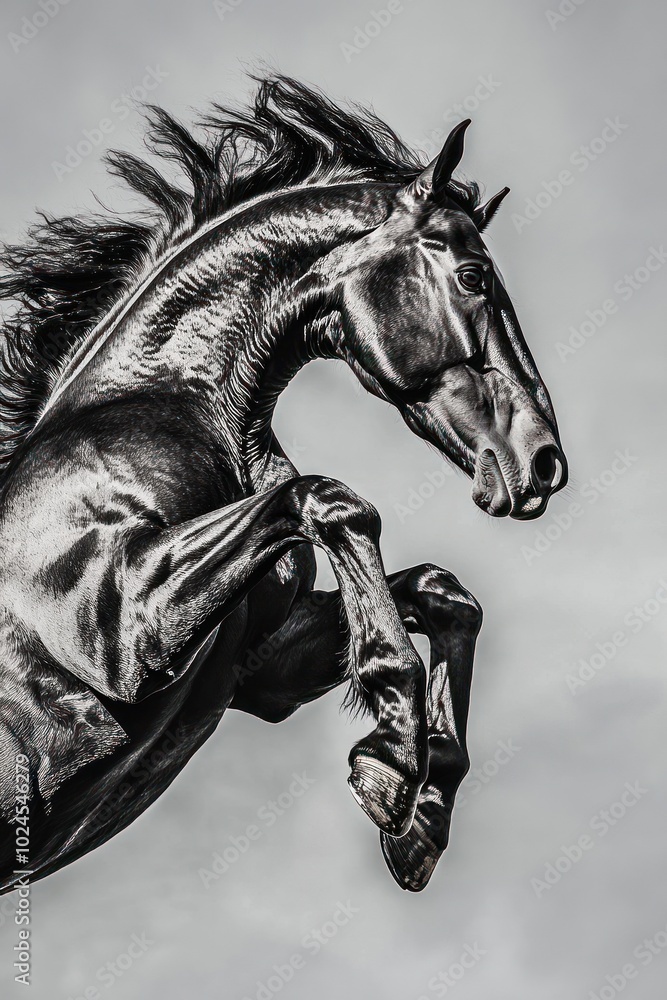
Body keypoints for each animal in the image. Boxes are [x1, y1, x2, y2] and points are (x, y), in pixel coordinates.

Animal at [0, 76, 567, 894]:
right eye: (473, 277)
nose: (544, 463)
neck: (167, 403)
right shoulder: (120, 631)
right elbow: (333, 501)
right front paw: (392, 763)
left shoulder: (260, 672)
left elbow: (443, 593)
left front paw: (422, 817)